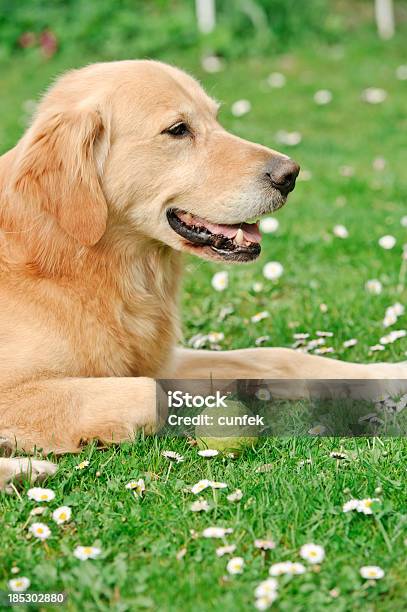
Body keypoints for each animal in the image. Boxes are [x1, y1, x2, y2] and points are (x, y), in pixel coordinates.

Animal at [0, 61, 407, 492]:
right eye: (179, 129)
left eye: (216, 118)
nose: (290, 175)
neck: (77, 260)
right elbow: (150, 394)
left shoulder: (166, 361)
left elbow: (280, 357)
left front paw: (390, 373)